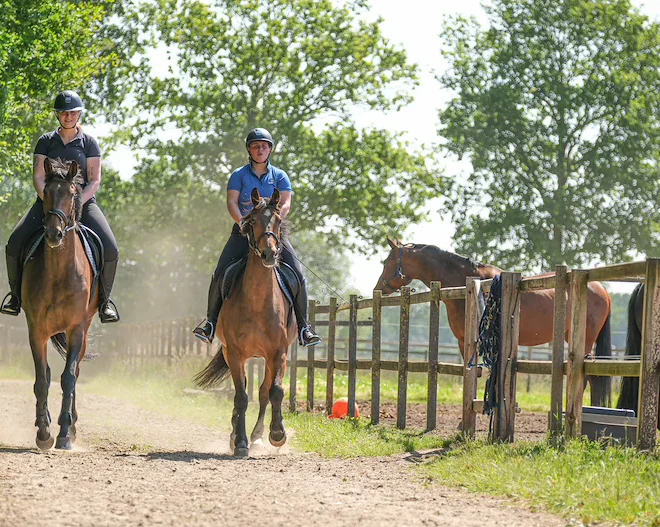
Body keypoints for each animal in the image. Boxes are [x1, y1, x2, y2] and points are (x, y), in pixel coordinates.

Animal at [23, 158, 99, 450]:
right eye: (46, 192)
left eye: (72, 193)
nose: (54, 234)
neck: (58, 273)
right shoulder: (36, 330)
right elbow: (42, 379)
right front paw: (44, 433)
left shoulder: (76, 328)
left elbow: (68, 378)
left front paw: (65, 433)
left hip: (85, 329)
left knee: (75, 372)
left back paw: (72, 425)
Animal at [193, 190, 296, 458]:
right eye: (253, 221)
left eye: (278, 221)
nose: (270, 254)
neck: (258, 302)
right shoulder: (236, 353)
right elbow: (240, 396)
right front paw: (239, 442)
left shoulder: (279, 353)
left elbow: (275, 391)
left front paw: (277, 434)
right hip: (235, 355)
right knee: (245, 392)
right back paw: (237, 436)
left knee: (263, 393)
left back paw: (258, 437)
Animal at [376, 239, 612, 408]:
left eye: (387, 262)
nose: (378, 287)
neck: (469, 284)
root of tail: (601, 289)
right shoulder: (465, 342)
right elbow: (473, 373)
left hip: (584, 341)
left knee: (586, 376)